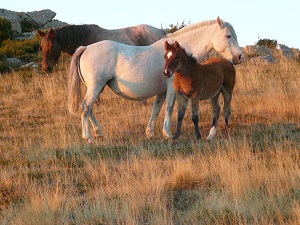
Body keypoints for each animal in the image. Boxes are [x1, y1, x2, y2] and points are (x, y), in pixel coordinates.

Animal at [68, 17, 244, 144]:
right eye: (228, 36)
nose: (239, 57)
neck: (177, 56)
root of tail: (86, 48)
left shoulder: (162, 91)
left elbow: (156, 109)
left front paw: (150, 132)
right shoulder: (172, 88)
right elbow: (170, 108)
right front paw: (168, 133)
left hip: (98, 87)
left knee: (89, 109)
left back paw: (98, 132)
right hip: (95, 87)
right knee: (85, 107)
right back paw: (88, 137)